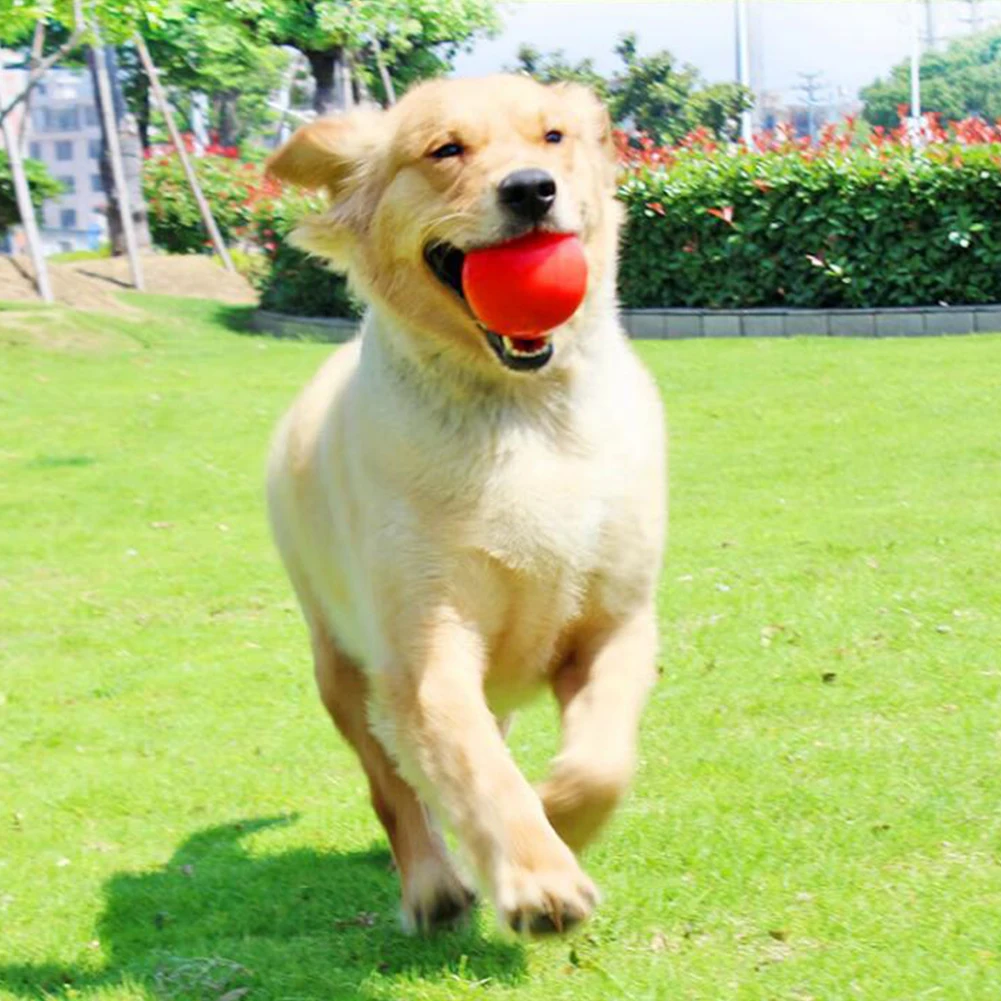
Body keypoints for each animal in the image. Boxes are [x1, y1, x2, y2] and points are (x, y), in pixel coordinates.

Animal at [266, 74, 664, 932]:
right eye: (444, 149)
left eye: (552, 137)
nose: (530, 189)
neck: (520, 410)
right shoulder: (426, 646)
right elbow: (472, 764)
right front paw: (538, 877)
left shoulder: (616, 620)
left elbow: (602, 760)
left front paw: (560, 812)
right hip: (339, 663)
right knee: (392, 788)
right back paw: (432, 884)